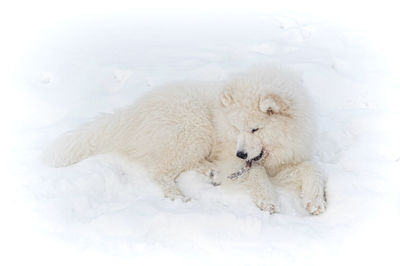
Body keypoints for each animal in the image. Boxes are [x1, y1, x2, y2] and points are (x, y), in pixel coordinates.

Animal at [43, 65, 324, 215]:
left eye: (255, 129)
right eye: (236, 128)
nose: (241, 154)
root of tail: (132, 113)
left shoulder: (284, 161)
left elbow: (311, 168)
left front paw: (316, 200)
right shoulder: (232, 159)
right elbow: (256, 174)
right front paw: (268, 201)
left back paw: (210, 172)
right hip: (194, 130)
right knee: (159, 171)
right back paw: (179, 196)